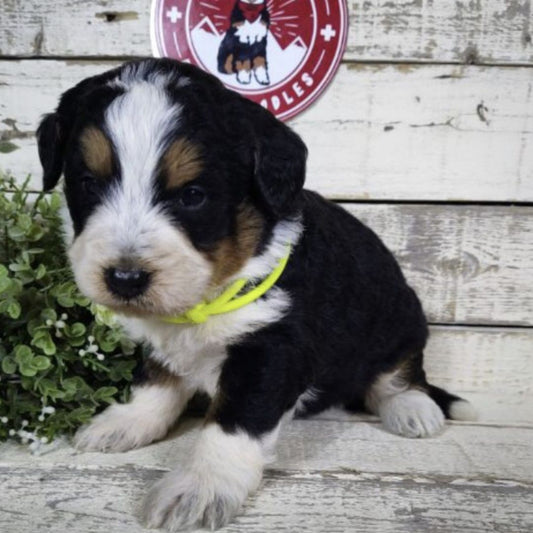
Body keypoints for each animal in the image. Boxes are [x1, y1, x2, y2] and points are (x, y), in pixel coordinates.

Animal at [36, 58, 474, 528]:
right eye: (88, 183)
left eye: (193, 196)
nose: (125, 278)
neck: (211, 293)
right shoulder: (163, 342)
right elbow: (155, 381)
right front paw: (128, 421)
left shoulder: (273, 348)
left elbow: (233, 422)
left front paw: (202, 487)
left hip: (399, 317)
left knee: (399, 374)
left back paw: (413, 408)